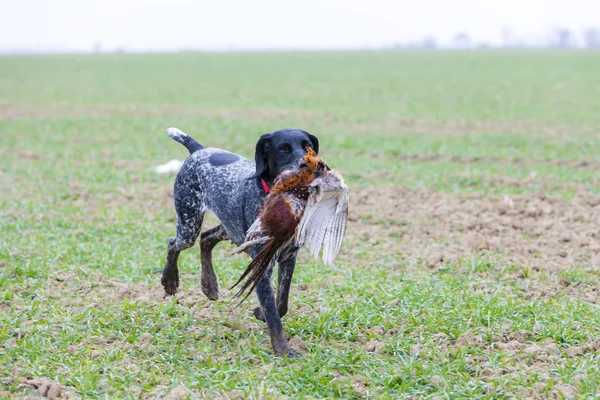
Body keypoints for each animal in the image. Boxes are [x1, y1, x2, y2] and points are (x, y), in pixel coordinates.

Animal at [159, 127, 318, 356]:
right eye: (283, 148)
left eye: (308, 146)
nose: (306, 165)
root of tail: (199, 150)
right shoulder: (262, 264)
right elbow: (273, 313)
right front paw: (283, 350)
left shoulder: (289, 257)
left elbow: (281, 303)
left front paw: (260, 314)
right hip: (189, 225)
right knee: (174, 243)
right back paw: (170, 281)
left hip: (230, 228)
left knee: (206, 239)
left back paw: (209, 285)